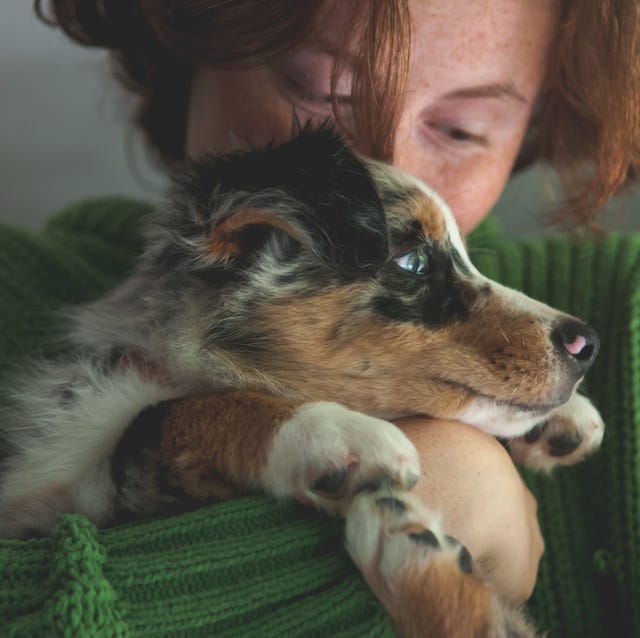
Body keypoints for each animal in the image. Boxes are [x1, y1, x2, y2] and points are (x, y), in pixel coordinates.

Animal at [0, 127, 604, 636]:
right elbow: (171, 416)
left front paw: (561, 418)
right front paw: (326, 433)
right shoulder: (62, 498)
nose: (588, 343)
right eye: (411, 262)